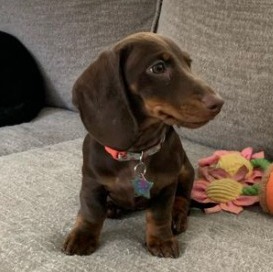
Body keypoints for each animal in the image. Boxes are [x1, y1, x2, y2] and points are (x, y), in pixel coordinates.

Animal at [62, 31, 222, 258]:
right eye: (158, 68)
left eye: (188, 63)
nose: (219, 102)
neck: (136, 152)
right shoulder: (91, 183)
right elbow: (90, 212)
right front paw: (83, 236)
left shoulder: (166, 186)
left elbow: (159, 215)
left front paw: (162, 240)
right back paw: (112, 207)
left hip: (185, 171)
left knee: (183, 199)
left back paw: (177, 216)